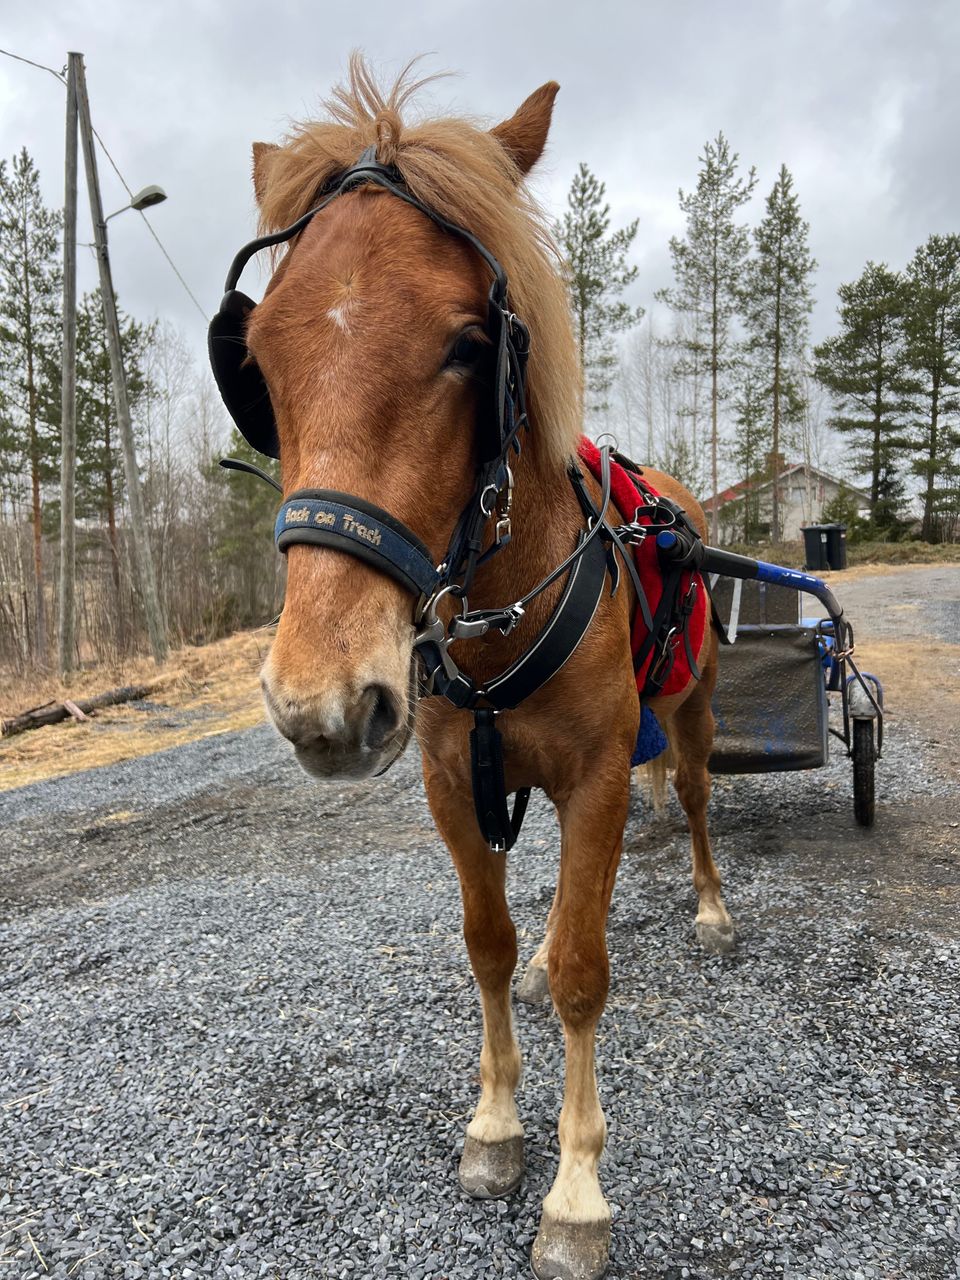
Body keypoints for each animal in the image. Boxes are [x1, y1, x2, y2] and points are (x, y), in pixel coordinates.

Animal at [209, 57, 737, 1280]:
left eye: (467, 344)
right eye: (258, 364)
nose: (318, 702)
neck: (502, 607)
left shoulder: (598, 774)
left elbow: (591, 966)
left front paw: (577, 1190)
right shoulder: (456, 783)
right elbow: (490, 945)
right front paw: (497, 1124)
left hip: (686, 711)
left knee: (691, 797)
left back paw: (708, 903)